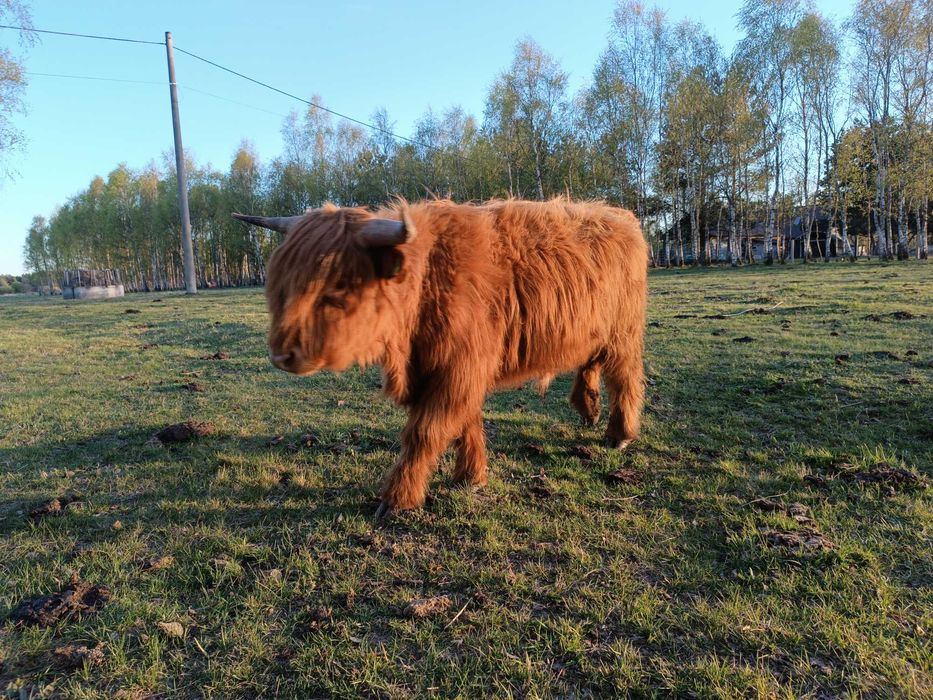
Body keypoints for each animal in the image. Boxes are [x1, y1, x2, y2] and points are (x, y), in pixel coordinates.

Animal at [234, 198, 648, 518]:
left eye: (336, 287)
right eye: (283, 284)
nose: (281, 353)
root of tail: (619, 216)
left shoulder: (458, 369)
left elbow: (426, 430)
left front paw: (397, 500)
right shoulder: (451, 370)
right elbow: (465, 423)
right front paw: (471, 477)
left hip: (623, 335)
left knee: (624, 378)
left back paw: (619, 435)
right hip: (593, 330)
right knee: (590, 363)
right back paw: (588, 409)